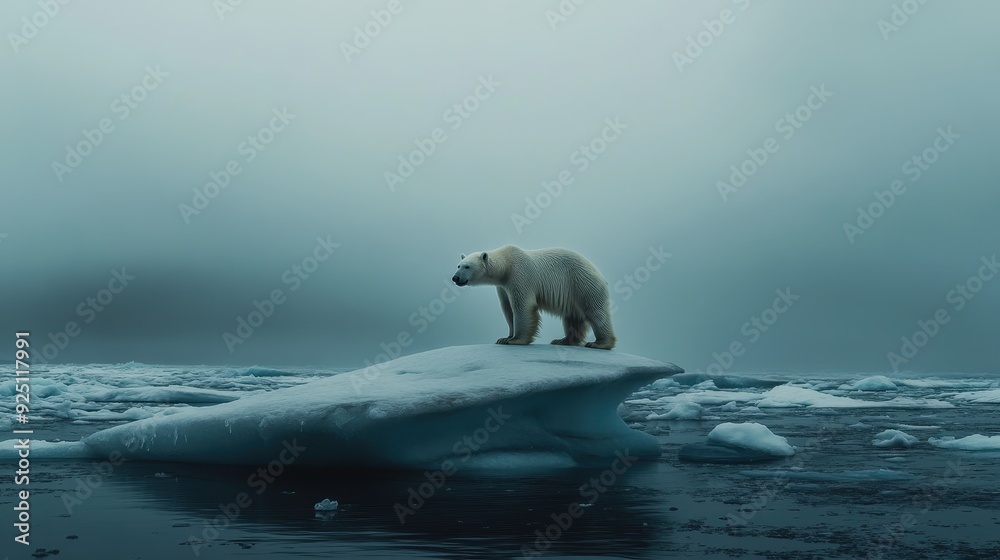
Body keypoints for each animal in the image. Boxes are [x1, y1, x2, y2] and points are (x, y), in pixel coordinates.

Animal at [451, 245, 616, 349]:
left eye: (467, 266)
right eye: (458, 265)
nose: (455, 278)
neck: (506, 265)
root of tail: (600, 274)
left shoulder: (520, 275)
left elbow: (522, 306)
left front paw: (516, 340)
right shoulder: (503, 287)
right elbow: (507, 309)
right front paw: (504, 338)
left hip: (583, 284)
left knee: (596, 312)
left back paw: (600, 343)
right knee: (572, 318)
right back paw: (563, 340)